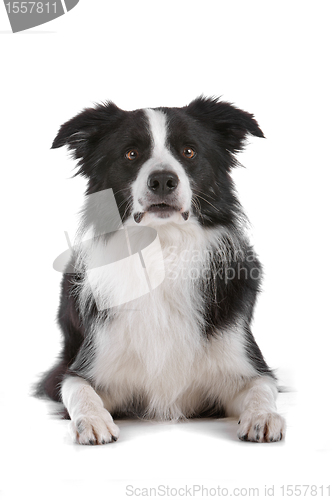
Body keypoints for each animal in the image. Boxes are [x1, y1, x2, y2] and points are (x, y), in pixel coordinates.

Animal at [35, 95, 286, 444]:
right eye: (131, 153)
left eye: (189, 151)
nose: (163, 180)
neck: (162, 250)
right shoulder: (83, 368)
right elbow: (78, 390)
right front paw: (92, 421)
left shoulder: (245, 365)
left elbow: (262, 388)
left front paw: (263, 417)